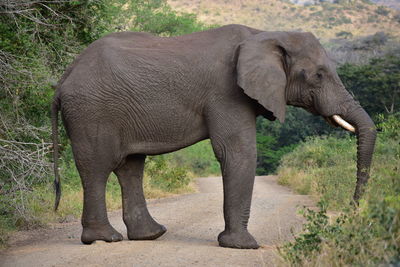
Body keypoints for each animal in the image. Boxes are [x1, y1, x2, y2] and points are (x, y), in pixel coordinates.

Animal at [51, 24, 376, 250]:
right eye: (318, 75)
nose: (351, 210)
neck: (264, 35)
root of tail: (64, 77)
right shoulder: (227, 92)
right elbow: (237, 152)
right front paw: (243, 246)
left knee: (130, 167)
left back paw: (151, 235)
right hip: (91, 111)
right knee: (97, 167)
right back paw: (104, 239)